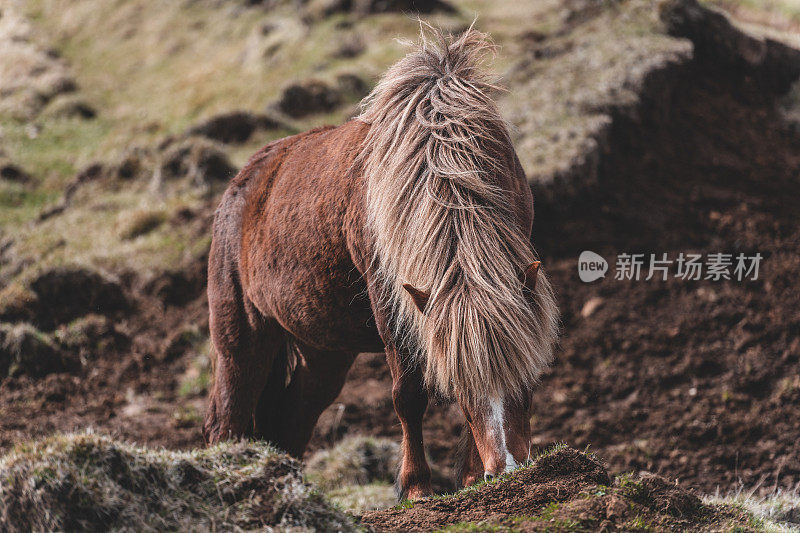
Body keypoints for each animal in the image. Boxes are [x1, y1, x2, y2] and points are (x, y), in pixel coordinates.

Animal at [203, 26, 560, 498]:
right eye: (459, 389)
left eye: (527, 377)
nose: (509, 470)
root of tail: (239, 186)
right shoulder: (392, 300)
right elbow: (408, 395)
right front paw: (417, 487)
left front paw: (467, 477)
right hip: (242, 341)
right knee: (227, 421)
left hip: (323, 352)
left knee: (289, 421)